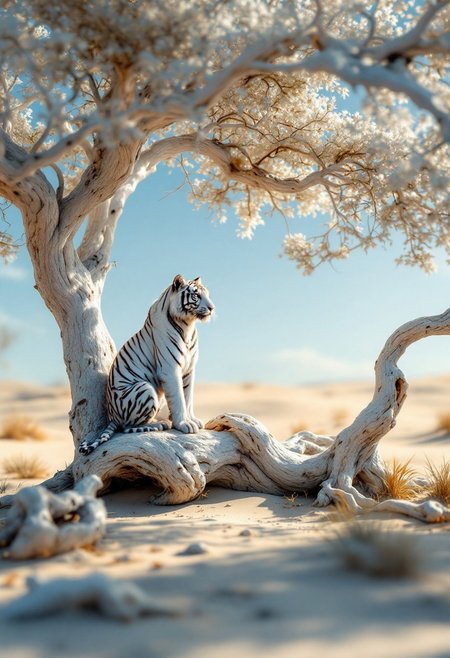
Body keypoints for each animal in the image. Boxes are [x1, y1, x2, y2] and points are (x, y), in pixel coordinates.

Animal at [79, 274, 215, 455]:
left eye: (207, 294)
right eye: (196, 295)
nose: (212, 308)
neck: (188, 325)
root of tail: (112, 416)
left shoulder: (189, 370)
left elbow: (188, 397)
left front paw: (192, 420)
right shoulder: (170, 369)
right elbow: (179, 398)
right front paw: (184, 424)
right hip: (145, 388)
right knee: (127, 426)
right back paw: (160, 423)